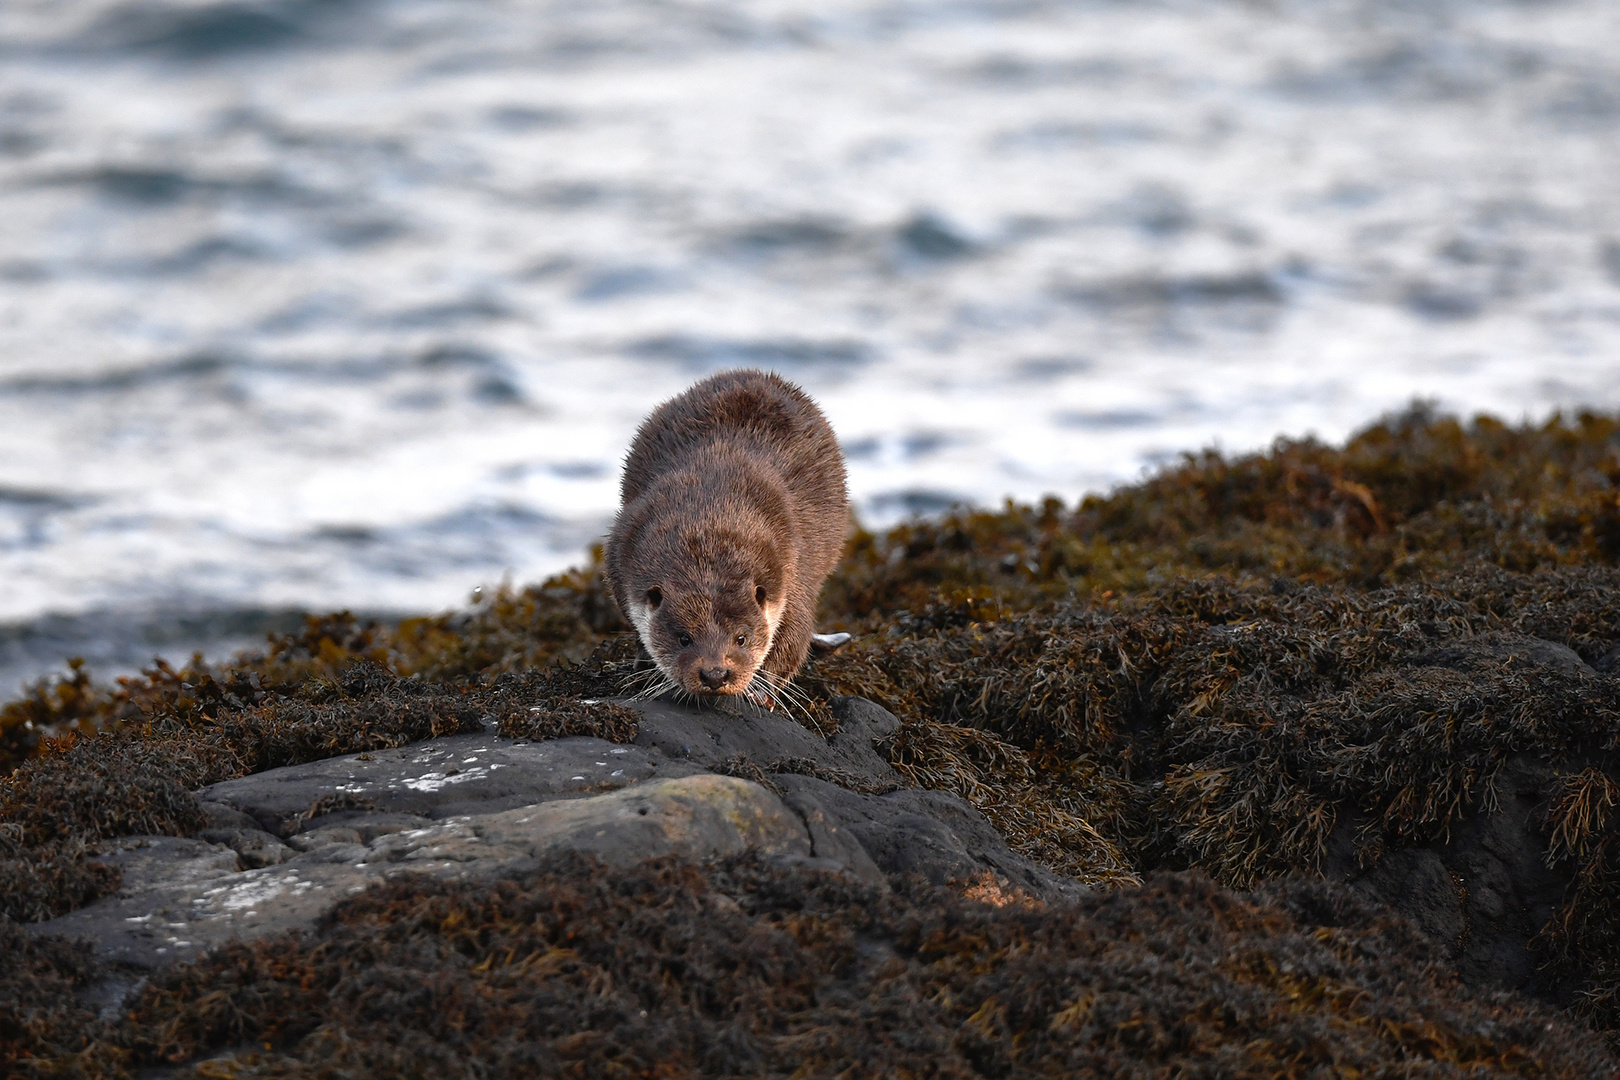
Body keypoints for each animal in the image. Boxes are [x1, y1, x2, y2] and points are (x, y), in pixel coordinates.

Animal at [605, 369, 848, 709]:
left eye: (741, 638)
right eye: (684, 638)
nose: (715, 674)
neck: (712, 518)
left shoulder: (792, 571)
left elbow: (794, 638)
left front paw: (762, 691)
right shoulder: (621, 553)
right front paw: (644, 664)